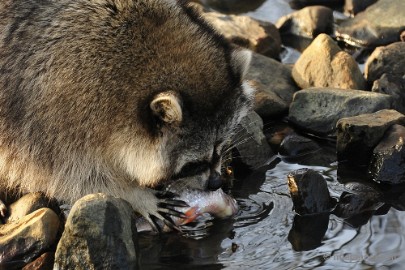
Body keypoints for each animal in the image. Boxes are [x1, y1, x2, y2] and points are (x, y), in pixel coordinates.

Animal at [0, 0, 252, 228]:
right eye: (193, 165)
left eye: (220, 145)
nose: (216, 183)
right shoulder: (52, 118)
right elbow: (73, 176)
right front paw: (135, 194)